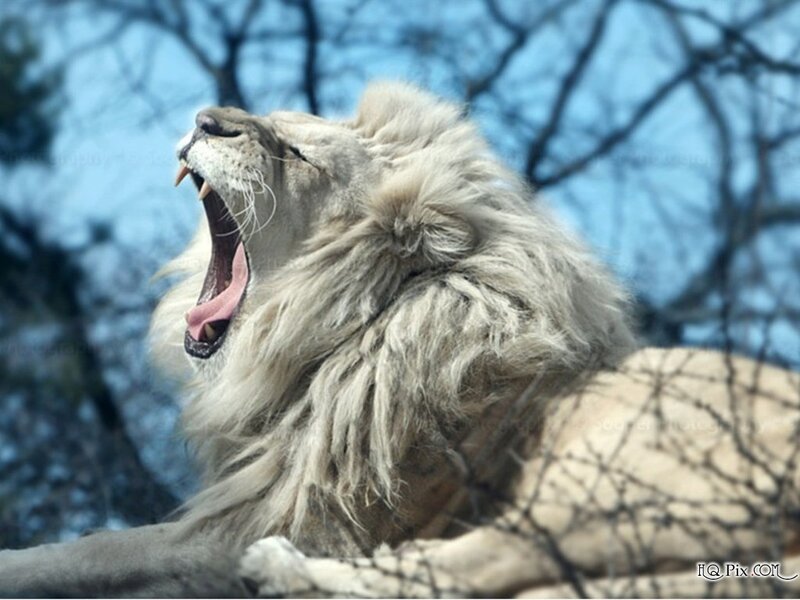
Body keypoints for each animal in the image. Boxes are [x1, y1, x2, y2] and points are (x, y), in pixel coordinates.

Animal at [0, 82, 798, 598]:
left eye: (297, 152)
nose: (205, 119)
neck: (330, 338)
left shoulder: (258, 525)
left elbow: (91, 550)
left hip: (602, 480)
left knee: (463, 569)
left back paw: (282, 573)